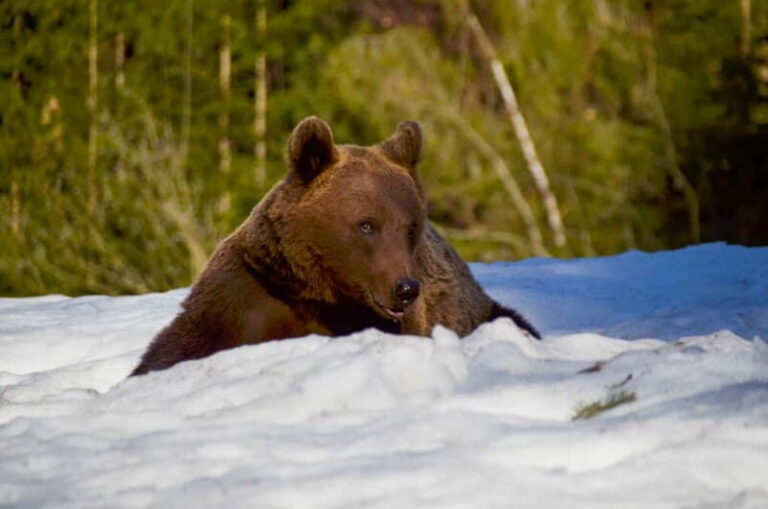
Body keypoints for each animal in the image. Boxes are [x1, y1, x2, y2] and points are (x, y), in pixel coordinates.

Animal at [130, 117, 539, 376]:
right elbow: (178, 348)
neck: (321, 292)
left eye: (411, 226)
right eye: (366, 224)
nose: (405, 288)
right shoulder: (247, 294)